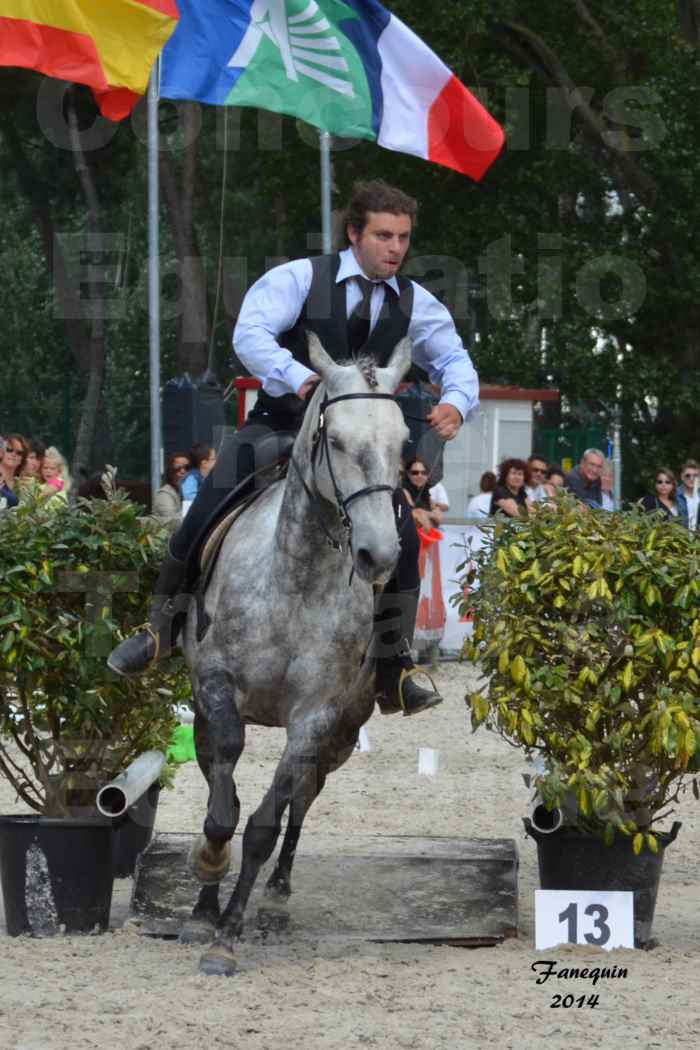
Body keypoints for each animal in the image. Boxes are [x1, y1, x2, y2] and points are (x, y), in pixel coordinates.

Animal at [178, 336, 413, 974]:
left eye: (403, 441)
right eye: (337, 441)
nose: (379, 555)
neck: (295, 578)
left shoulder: (315, 718)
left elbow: (264, 824)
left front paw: (228, 936)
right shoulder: (215, 688)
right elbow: (223, 804)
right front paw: (208, 882)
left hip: (341, 736)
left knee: (301, 802)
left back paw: (277, 897)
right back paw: (205, 903)